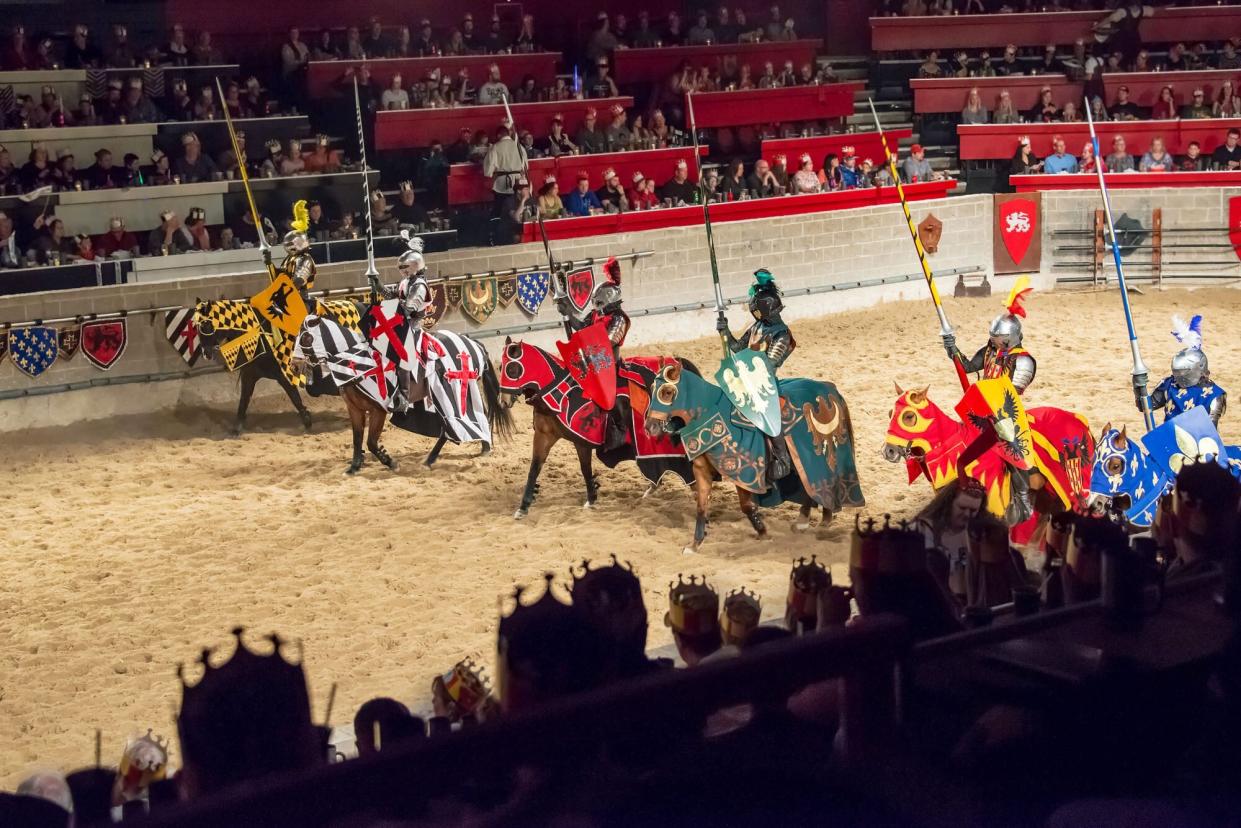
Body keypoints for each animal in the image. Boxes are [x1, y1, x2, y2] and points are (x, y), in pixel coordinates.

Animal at [191, 301, 362, 436]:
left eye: (207, 324)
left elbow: (295, 397)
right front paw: (236, 429)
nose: (206, 352)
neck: (261, 336)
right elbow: (243, 401)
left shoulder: (283, 375)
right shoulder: (249, 375)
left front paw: (307, 421)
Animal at [295, 314, 508, 476]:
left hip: (452, 391)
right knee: (477, 416)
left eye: (306, 338)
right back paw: (482, 447)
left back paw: (433, 459)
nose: (295, 365)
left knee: (455, 424)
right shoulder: (354, 409)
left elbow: (371, 442)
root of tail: (473, 343)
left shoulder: (378, 410)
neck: (356, 363)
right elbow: (357, 439)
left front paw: (390, 462)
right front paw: (354, 467)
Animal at [498, 337, 704, 518]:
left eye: (512, 368)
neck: (559, 394)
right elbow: (534, 469)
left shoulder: (582, 441)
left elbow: (585, 468)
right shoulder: (543, 436)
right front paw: (523, 507)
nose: (503, 401)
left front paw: (591, 498)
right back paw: (652, 488)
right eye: (500, 367)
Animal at [640, 364, 863, 553]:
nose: (650, 427)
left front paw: (763, 534)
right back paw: (808, 518)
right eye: (652, 389)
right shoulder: (701, 471)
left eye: (667, 392)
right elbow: (701, 506)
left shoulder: (743, 472)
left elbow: (747, 506)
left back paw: (823, 517)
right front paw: (695, 544)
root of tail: (828, 386)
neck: (712, 414)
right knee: (809, 487)